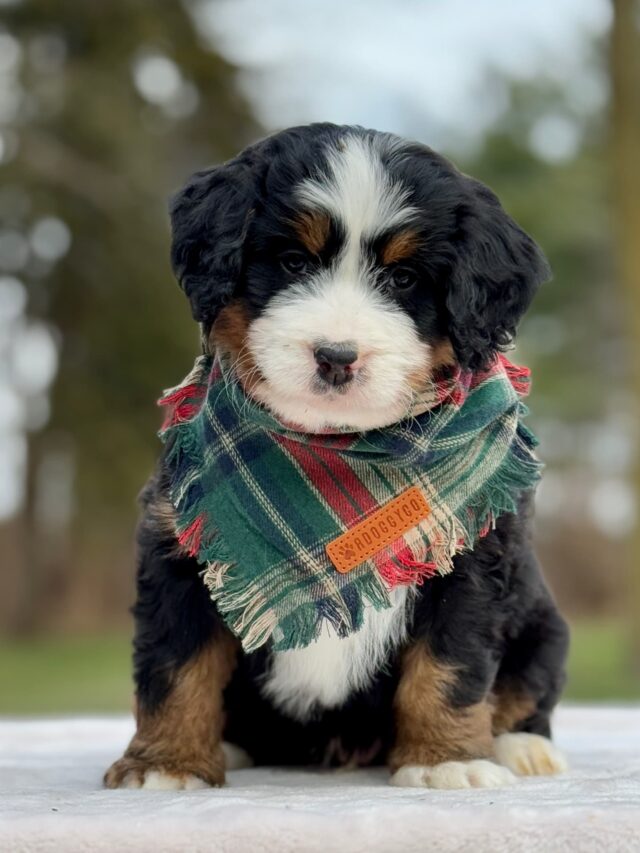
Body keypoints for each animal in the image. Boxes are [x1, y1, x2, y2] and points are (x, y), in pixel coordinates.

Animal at [105, 123, 568, 788]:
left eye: (403, 280)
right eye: (294, 263)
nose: (335, 356)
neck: (337, 449)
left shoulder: (473, 557)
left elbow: (450, 668)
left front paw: (447, 760)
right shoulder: (178, 544)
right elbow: (176, 665)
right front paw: (165, 765)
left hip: (543, 628)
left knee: (526, 692)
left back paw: (521, 748)